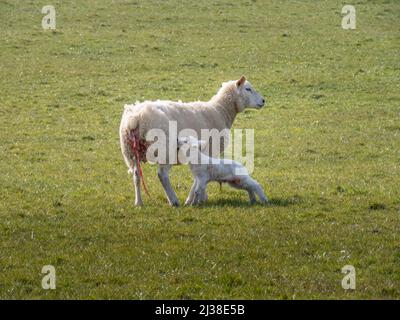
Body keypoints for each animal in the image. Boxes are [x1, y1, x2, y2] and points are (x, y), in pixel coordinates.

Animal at [120, 78, 268, 208]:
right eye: (248, 89)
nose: (263, 101)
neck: (220, 110)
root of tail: (135, 118)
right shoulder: (210, 151)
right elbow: (199, 179)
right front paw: (195, 199)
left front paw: (200, 197)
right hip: (165, 149)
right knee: (162, 175)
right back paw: (173, 201)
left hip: (130, 152)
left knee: (136, 175)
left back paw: (138, 202)